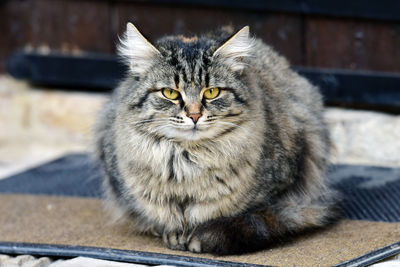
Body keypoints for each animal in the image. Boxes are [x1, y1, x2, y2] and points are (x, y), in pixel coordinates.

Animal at [95, 22, 340, 255]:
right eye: (170, 93)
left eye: (211, 92)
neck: (187, 162)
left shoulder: (284, 190)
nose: (194, 115)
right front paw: (174, 233)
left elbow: (249, 216)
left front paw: (197, 235)